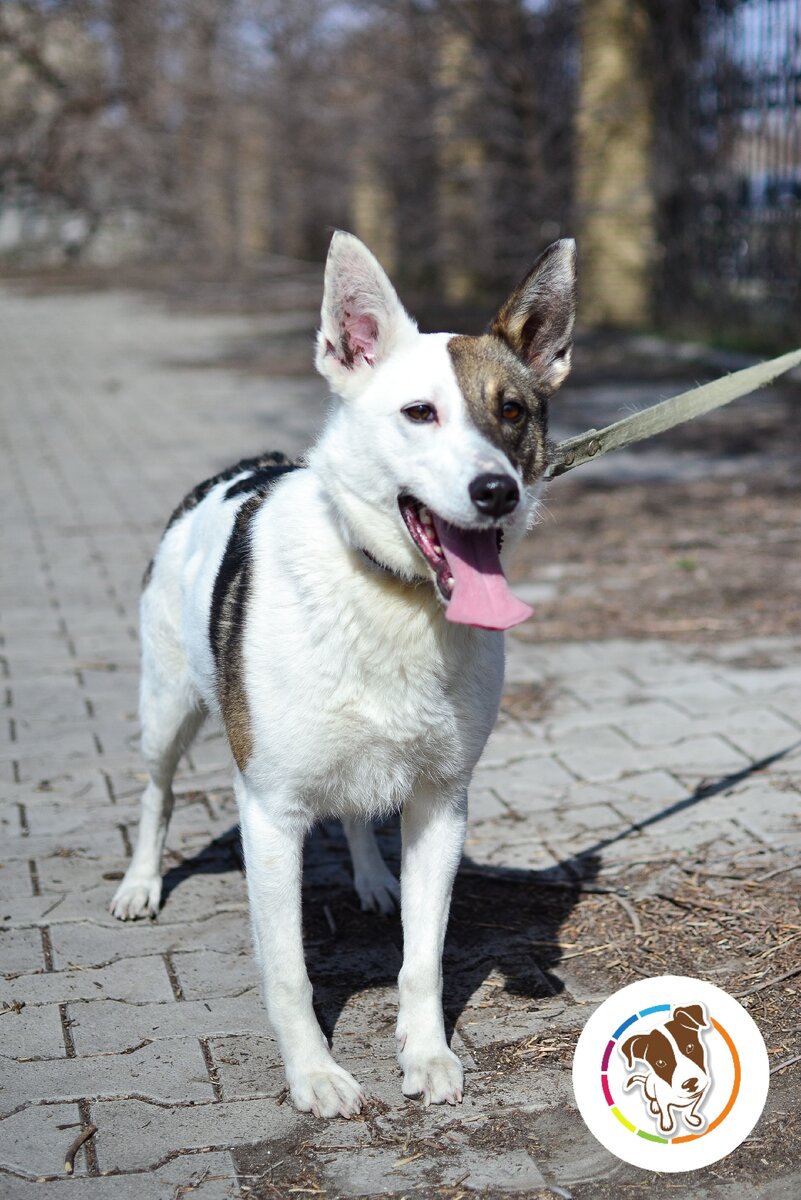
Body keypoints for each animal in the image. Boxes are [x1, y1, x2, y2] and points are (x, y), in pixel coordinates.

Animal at [110, 226, 575, 1113]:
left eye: (512, 412)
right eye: (419, 412)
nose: (495, 492)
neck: (391, 592)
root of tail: (243, 467)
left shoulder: (441, 803)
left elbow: (423, 958)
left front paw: (426, 1053)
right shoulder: (269, 813)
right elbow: (288, 970)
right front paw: (314, 1073)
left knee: (359, 810)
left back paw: (370, 878)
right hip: (164, 710)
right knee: (155, 794)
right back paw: (142, 883)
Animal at [623, 1003, 709, 1132]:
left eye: (690, 1047)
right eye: (660, 1062)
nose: (690, 1083)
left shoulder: (698, 1097)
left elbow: (690, 1109)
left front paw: (690, 1119)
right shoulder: (662, 1101)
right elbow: (666, 1113)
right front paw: (666, 1124)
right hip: (649, 1089)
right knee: (653, 1099)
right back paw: (654, 1106)